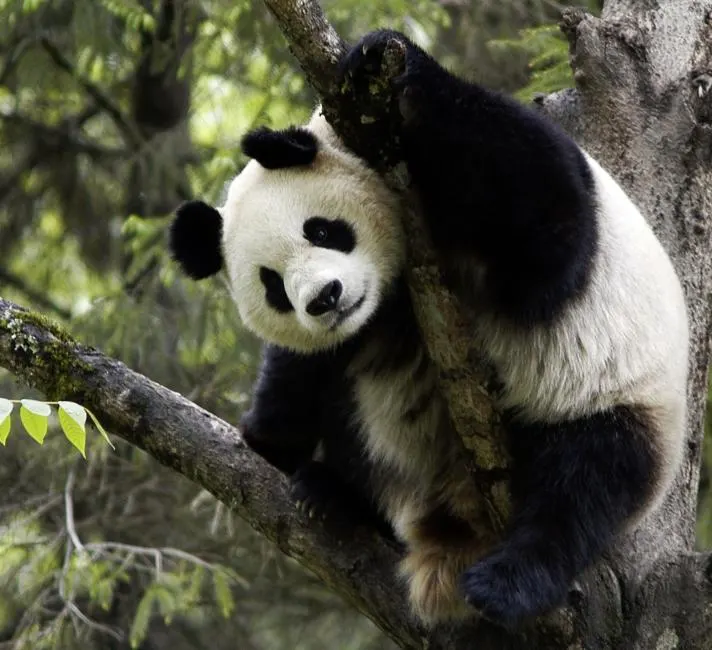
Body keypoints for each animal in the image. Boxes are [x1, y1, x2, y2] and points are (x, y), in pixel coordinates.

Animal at [168, 30, 689, 628]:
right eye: (272, 285)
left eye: (321, 230)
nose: (325, 299)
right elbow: (291, 392)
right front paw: (271, 434)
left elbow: (547, 228)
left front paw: (383, 60)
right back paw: (334, 496)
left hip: (617, 397)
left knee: (586, 483)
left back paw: (507, 583)